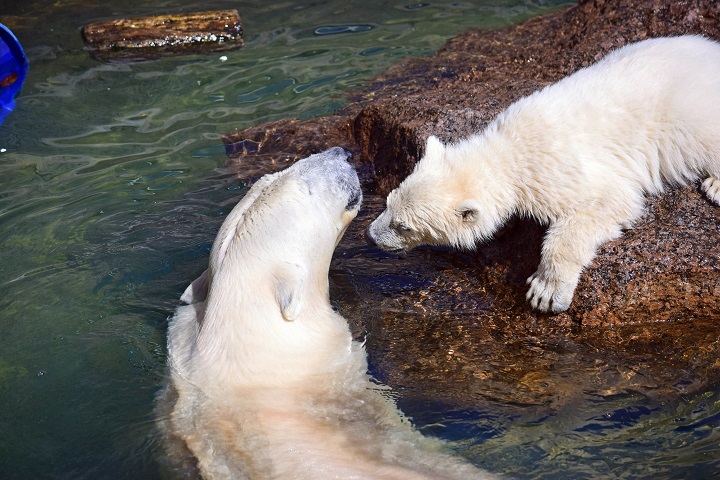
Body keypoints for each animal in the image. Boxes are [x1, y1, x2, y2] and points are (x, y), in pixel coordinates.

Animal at [366, 36, 720, 316]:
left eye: (404, 226)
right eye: (389, 201)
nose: (370, 236)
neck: (510, 148)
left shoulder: (559, 169)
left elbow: (607, 202)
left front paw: (546, 291)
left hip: (690, 111)